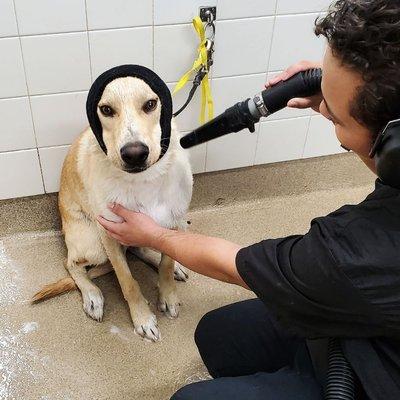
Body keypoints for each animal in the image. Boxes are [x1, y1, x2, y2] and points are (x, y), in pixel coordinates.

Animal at [32, 67, 192, 342]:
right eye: (106, 109)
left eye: (150, 104)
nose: (135, 154)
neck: (143, 180)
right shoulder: (109, 235)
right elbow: (127, 281)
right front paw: (142, 318)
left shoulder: (175, 222)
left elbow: (166, 263)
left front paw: (168, 294)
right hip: (94, 244)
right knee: (71, 264)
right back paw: (92, 296)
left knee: (141, 249)